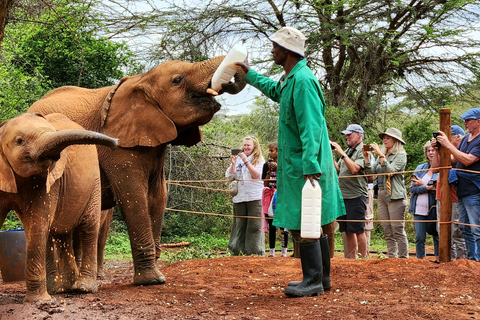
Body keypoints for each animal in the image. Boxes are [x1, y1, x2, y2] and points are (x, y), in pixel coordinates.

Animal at [0, 112, 119, 302]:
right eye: (19, 141)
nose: (116, 143)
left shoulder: (47, 181)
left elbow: (38, 223)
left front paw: (38, 301)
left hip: (94, 184)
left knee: (88, 229)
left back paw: (83, 288)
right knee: (60, 234)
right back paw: (61, 288)